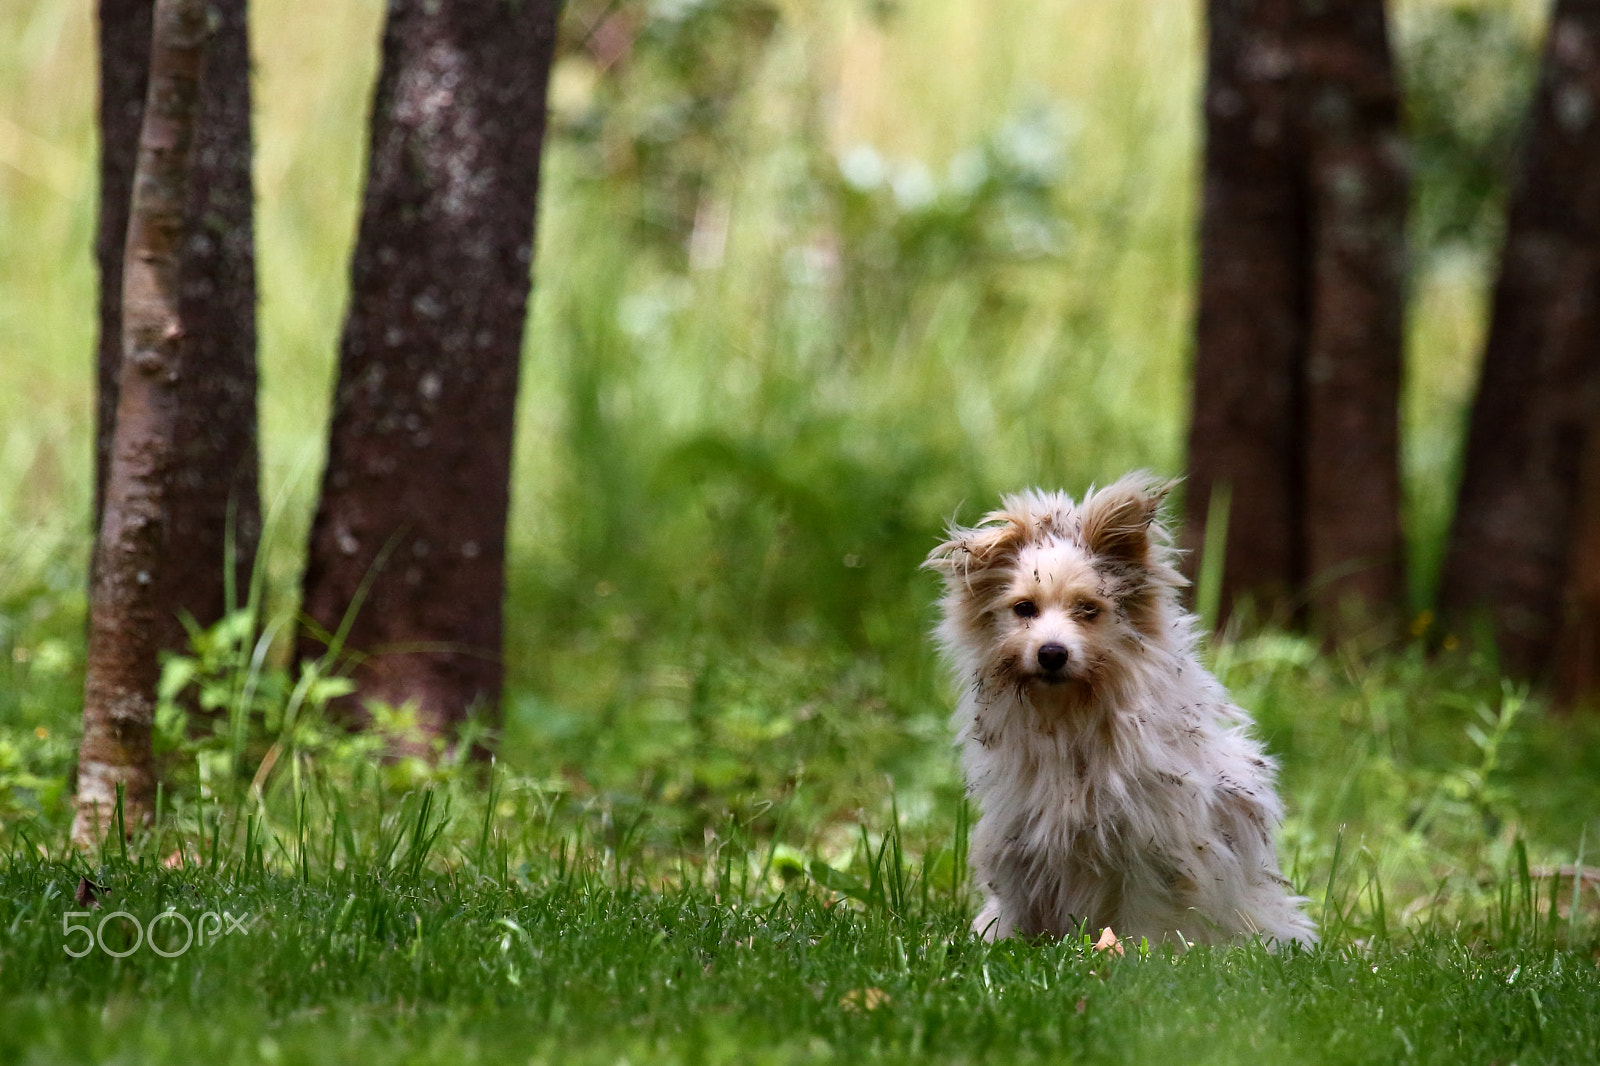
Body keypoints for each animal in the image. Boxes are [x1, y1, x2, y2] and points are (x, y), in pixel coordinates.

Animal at [928, 473, 1312, 947]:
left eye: (1088, 609)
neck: (1068, 714)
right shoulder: (1018, 840)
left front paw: (1136, 953)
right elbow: (1014, 905)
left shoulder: (1153, 850)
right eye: (1024, 608)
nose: (1051, 653)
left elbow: (1147, 914)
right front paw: (1000, 943)